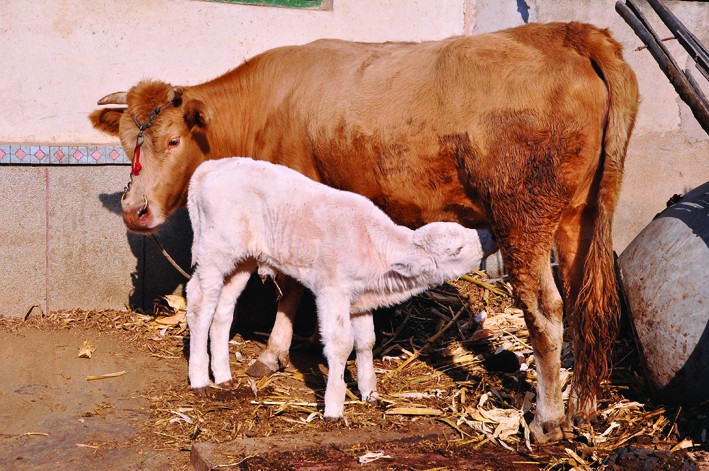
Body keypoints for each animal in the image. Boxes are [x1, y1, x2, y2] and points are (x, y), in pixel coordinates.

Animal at [184, 159, 492, 420]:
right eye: (457, 249)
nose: (488, 235)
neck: (374, 246)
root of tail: (210, 167)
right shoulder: (331, 291)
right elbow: (341, 344)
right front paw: (334, 407)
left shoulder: (361, 299)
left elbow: (366, 341)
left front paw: (370, 393)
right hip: (214, 252)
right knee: (199, 302)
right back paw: (200, 379)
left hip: (241, 260)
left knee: (223, 308)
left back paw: (223, 375)